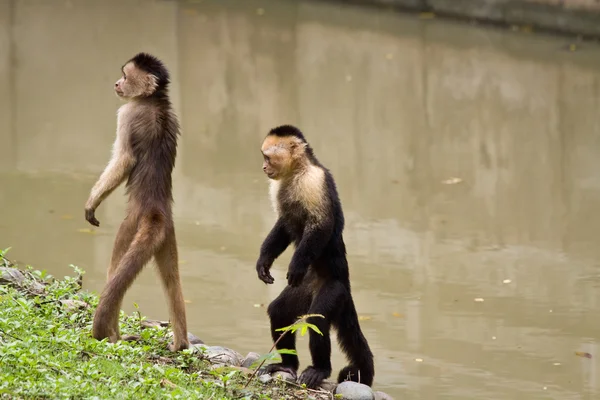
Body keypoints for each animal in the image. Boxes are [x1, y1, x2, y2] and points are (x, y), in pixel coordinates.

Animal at [83, 51, 189, 352]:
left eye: (125, 76)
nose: (117, 83)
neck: (153, 100)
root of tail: (154, 211)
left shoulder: (127, 114)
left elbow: (125, 159)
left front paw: (91, 203)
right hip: (167, 234)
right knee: (172, 279)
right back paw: (181, 344)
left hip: (130, 225)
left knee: (114, 268)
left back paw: (113, 335)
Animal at [254, 124, 376, 388]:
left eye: (268, 157)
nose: (264, 168)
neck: (296, 172)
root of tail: (346, 284)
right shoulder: (278, 186)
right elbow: (283, 225)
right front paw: (263, 262)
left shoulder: (314, 180)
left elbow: (321, 225)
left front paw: (296, 264)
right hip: (303, 288)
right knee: (279, 311)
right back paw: (288, 364)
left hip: (334, 290)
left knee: (317, 320)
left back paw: (320, 369)